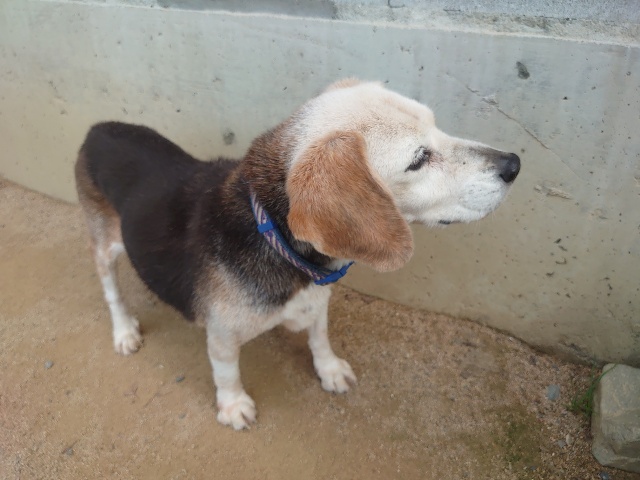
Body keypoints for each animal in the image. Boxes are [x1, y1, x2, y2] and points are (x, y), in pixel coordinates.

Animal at [75, 78, 520, 430]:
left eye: (436, 125)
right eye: (419, 159)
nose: (514, 164)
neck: (273, 237)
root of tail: (96, 129)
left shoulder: (317, 299)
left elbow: (319, 337)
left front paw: (329, 369)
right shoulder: (221, 335)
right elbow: (226, 372)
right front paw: (233, 406)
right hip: (103, 247)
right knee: (112, 291)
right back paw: (124, 331)